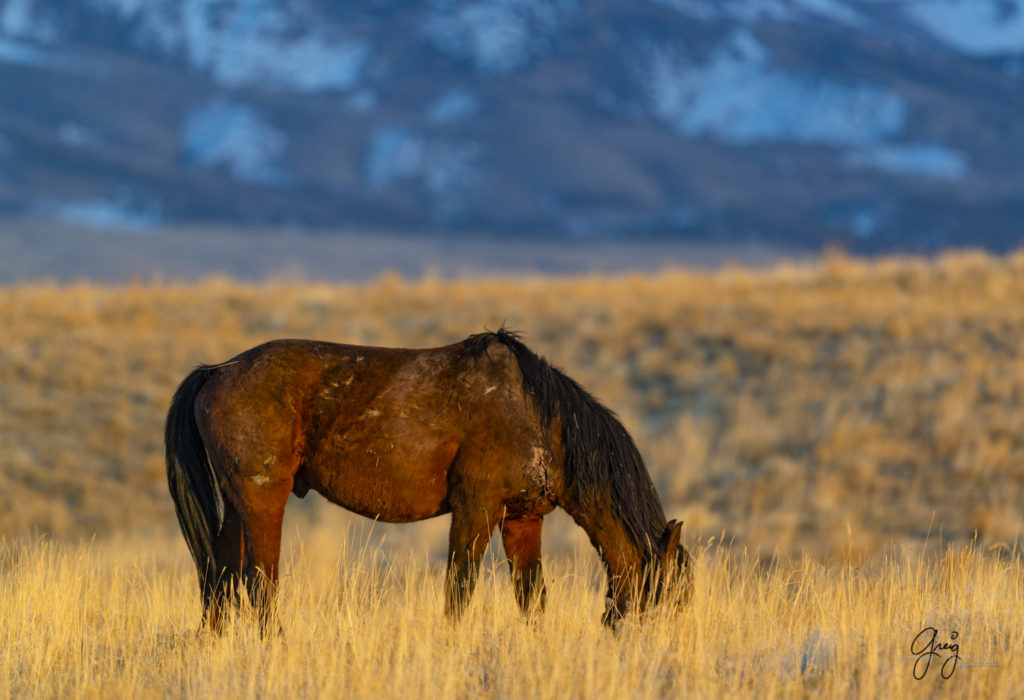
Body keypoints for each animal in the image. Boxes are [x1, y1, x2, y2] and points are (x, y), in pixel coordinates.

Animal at [165, 329, 696, 634]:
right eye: (670, 595)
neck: (538, 416)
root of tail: (215, 372)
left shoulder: (522, 521)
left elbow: (531, 599)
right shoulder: (477, 511)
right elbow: (459, 592)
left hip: (238, 503)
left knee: (219, 574)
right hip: (263, 501)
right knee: (260, 583)